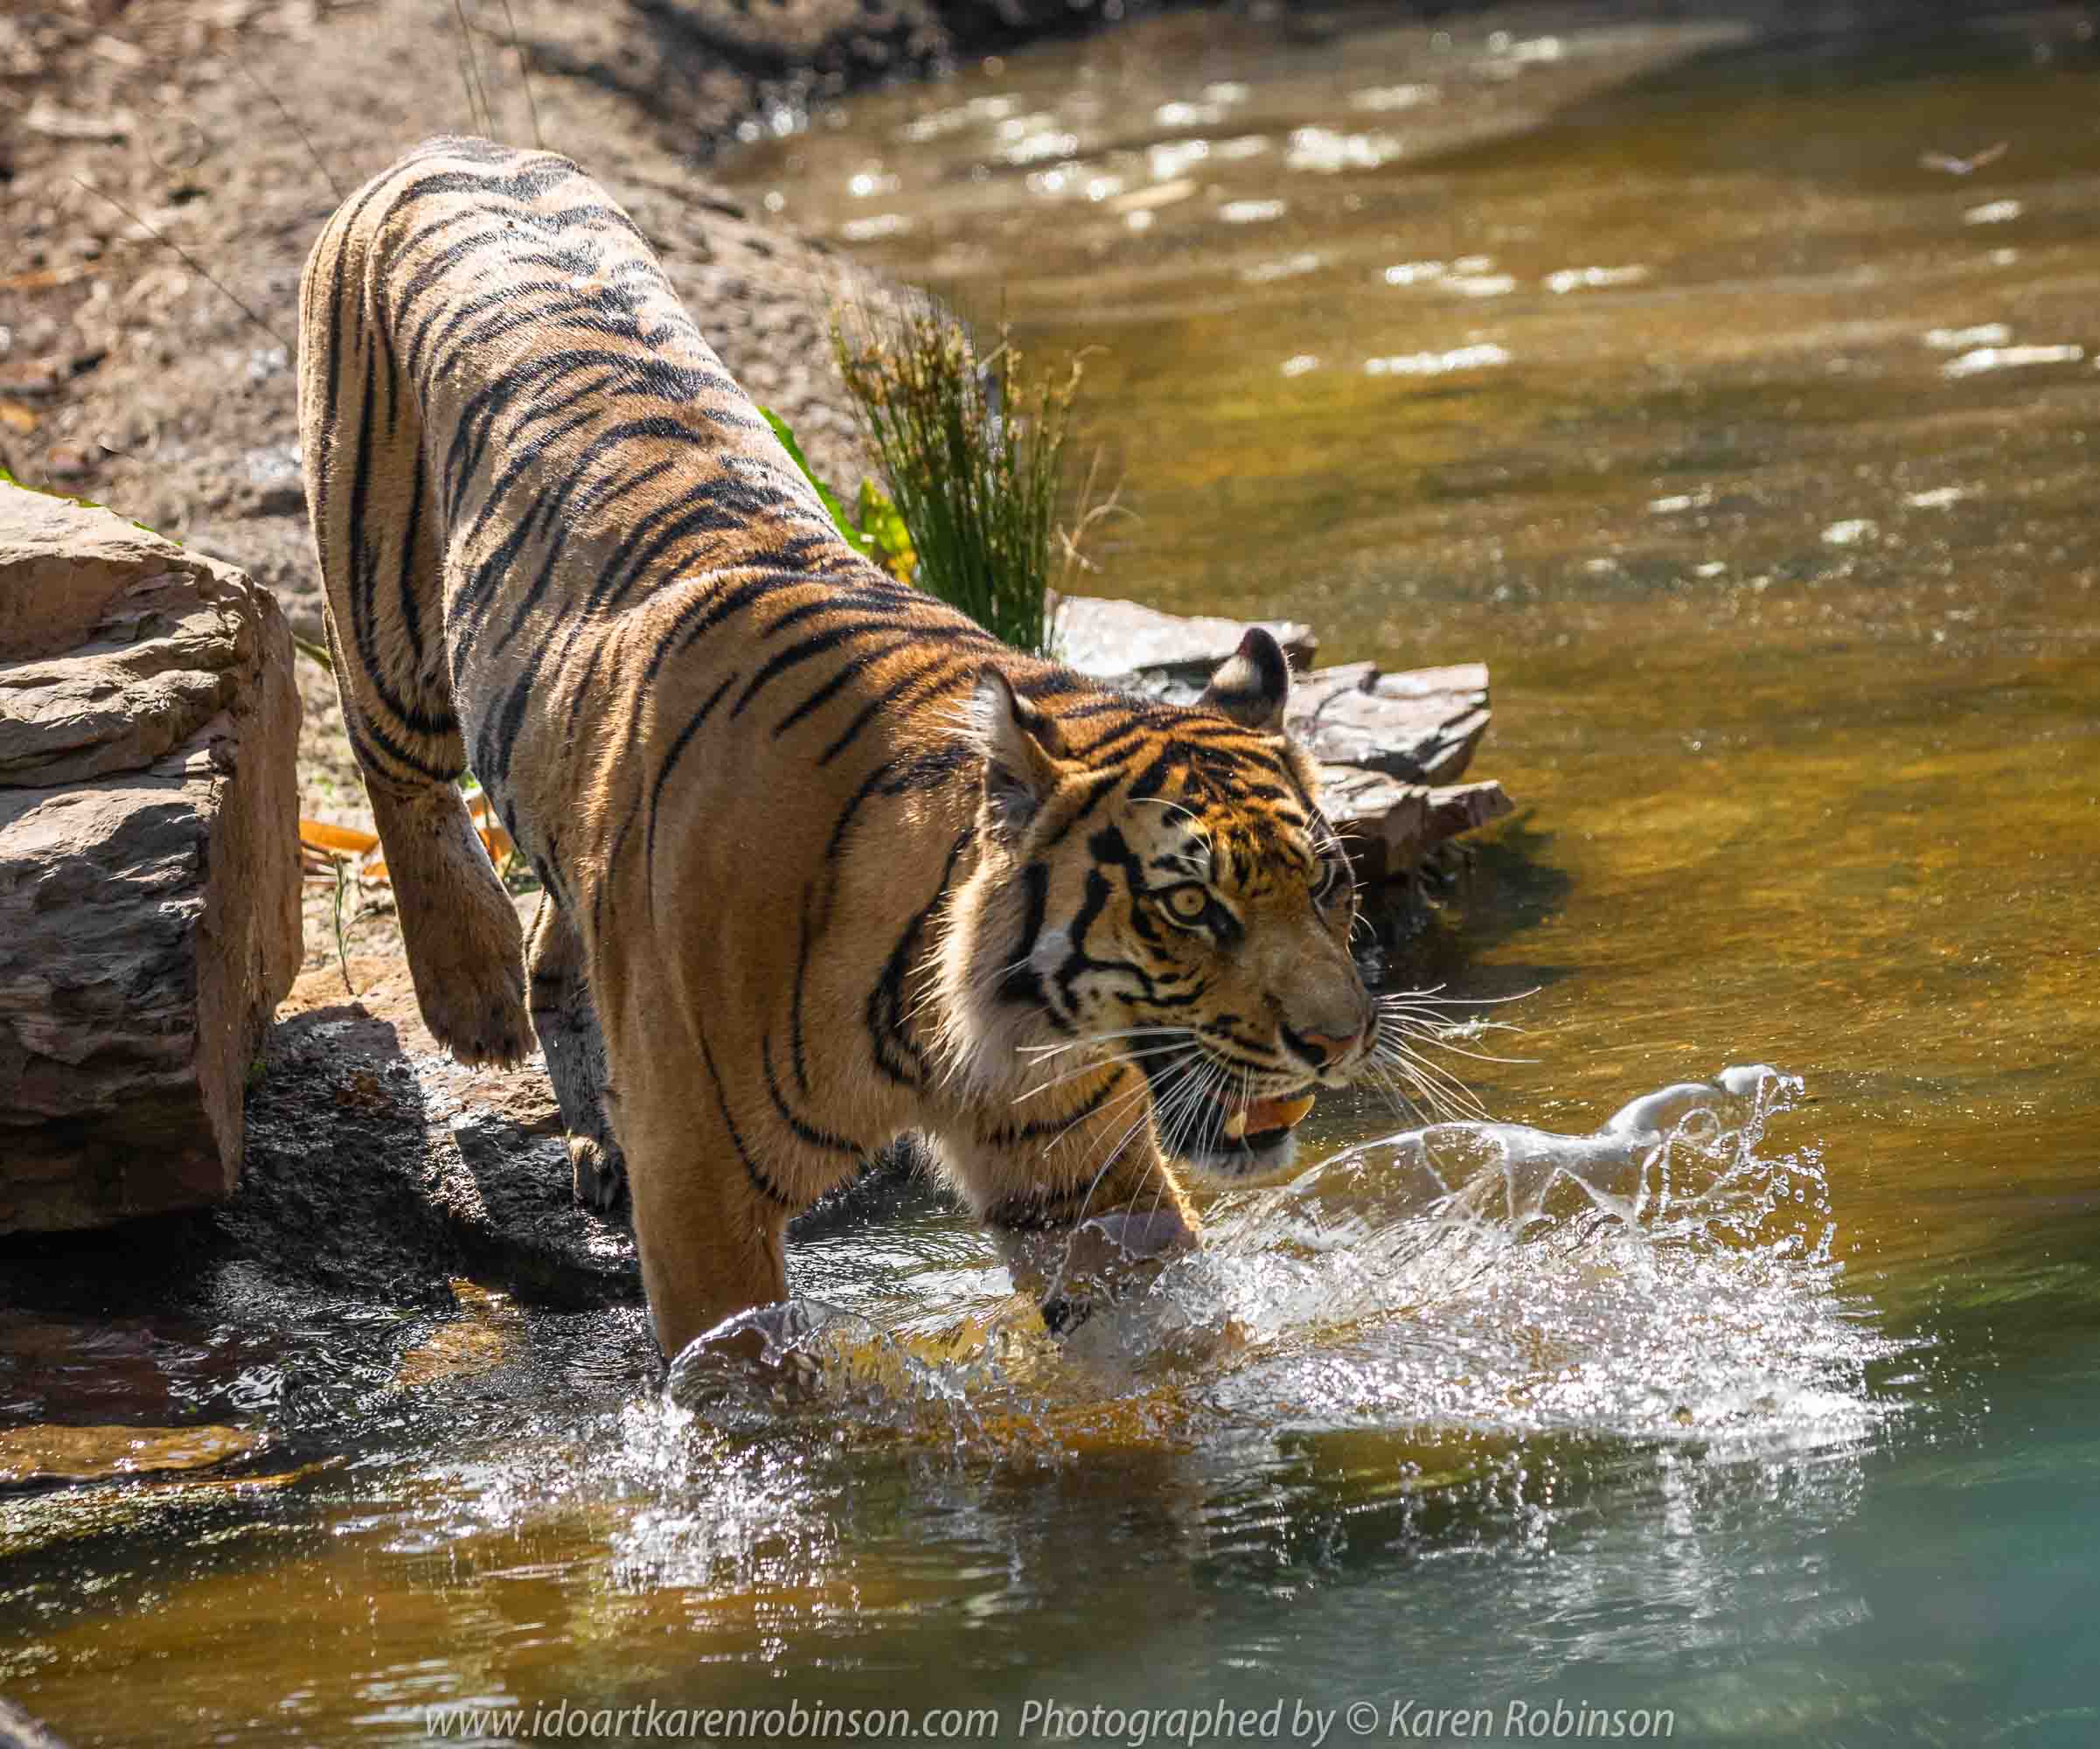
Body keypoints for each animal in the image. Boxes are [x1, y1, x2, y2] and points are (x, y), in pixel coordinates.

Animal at [297, 137, 1379, 1361]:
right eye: (1189, 905)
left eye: (1327, 883)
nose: (1340, 1041)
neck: (954, 1021)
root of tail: (460, 147)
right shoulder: (702, 1184)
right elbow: (756, 1385)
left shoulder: (1072, 1162)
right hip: (383, 598)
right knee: (396, 766)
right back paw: (470, 994)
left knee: (556, 928)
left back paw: (592, 1132)